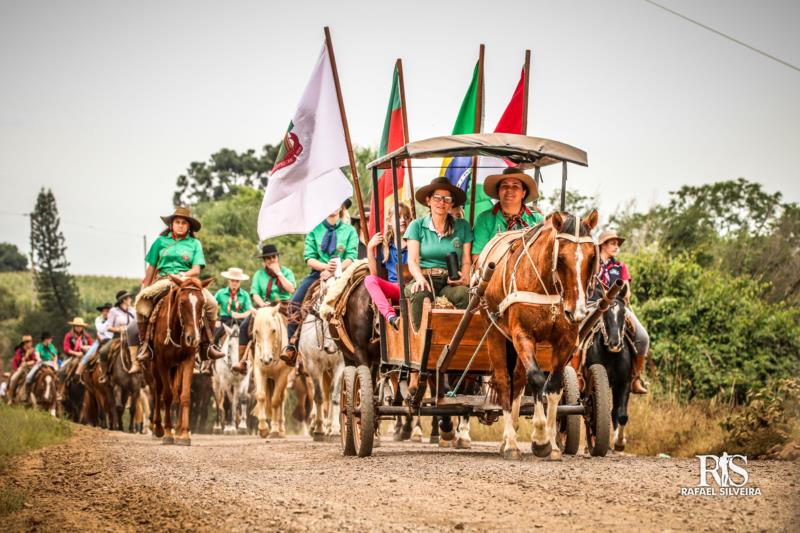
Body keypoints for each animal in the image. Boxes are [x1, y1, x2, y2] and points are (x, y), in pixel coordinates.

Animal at [148, 274, 214, 444]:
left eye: (202, 304)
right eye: (182, 303)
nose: (193, 338)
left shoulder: (188, 360)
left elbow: (184, 395)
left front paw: (184, 434)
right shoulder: (162, 363)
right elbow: (167, 396)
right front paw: (167, 433)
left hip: (176, 366)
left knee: (176, 391)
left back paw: (177, 429)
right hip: (154, 366)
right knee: (158, 391)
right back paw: (158, 428)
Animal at [252, 306, 292, 438]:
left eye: (273, 330)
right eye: (256, 331)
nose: (266, 359)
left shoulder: (282, 375)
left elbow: (275, 401)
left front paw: (274, 430)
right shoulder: (259, 371)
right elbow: (261, 396)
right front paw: (263, 428)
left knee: (281, 398)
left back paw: (281, 429)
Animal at [478, 210, 596, 460]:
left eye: (592, 258)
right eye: (561, 258)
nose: (577, 312)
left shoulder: (566, 341)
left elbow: (553, 387)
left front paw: (552, 443)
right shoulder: (522, 334)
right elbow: (536, 379)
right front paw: (540, 438)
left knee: (517, 380)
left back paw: (510, 437)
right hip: (494, 331)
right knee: (504, 380)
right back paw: (511, 443)